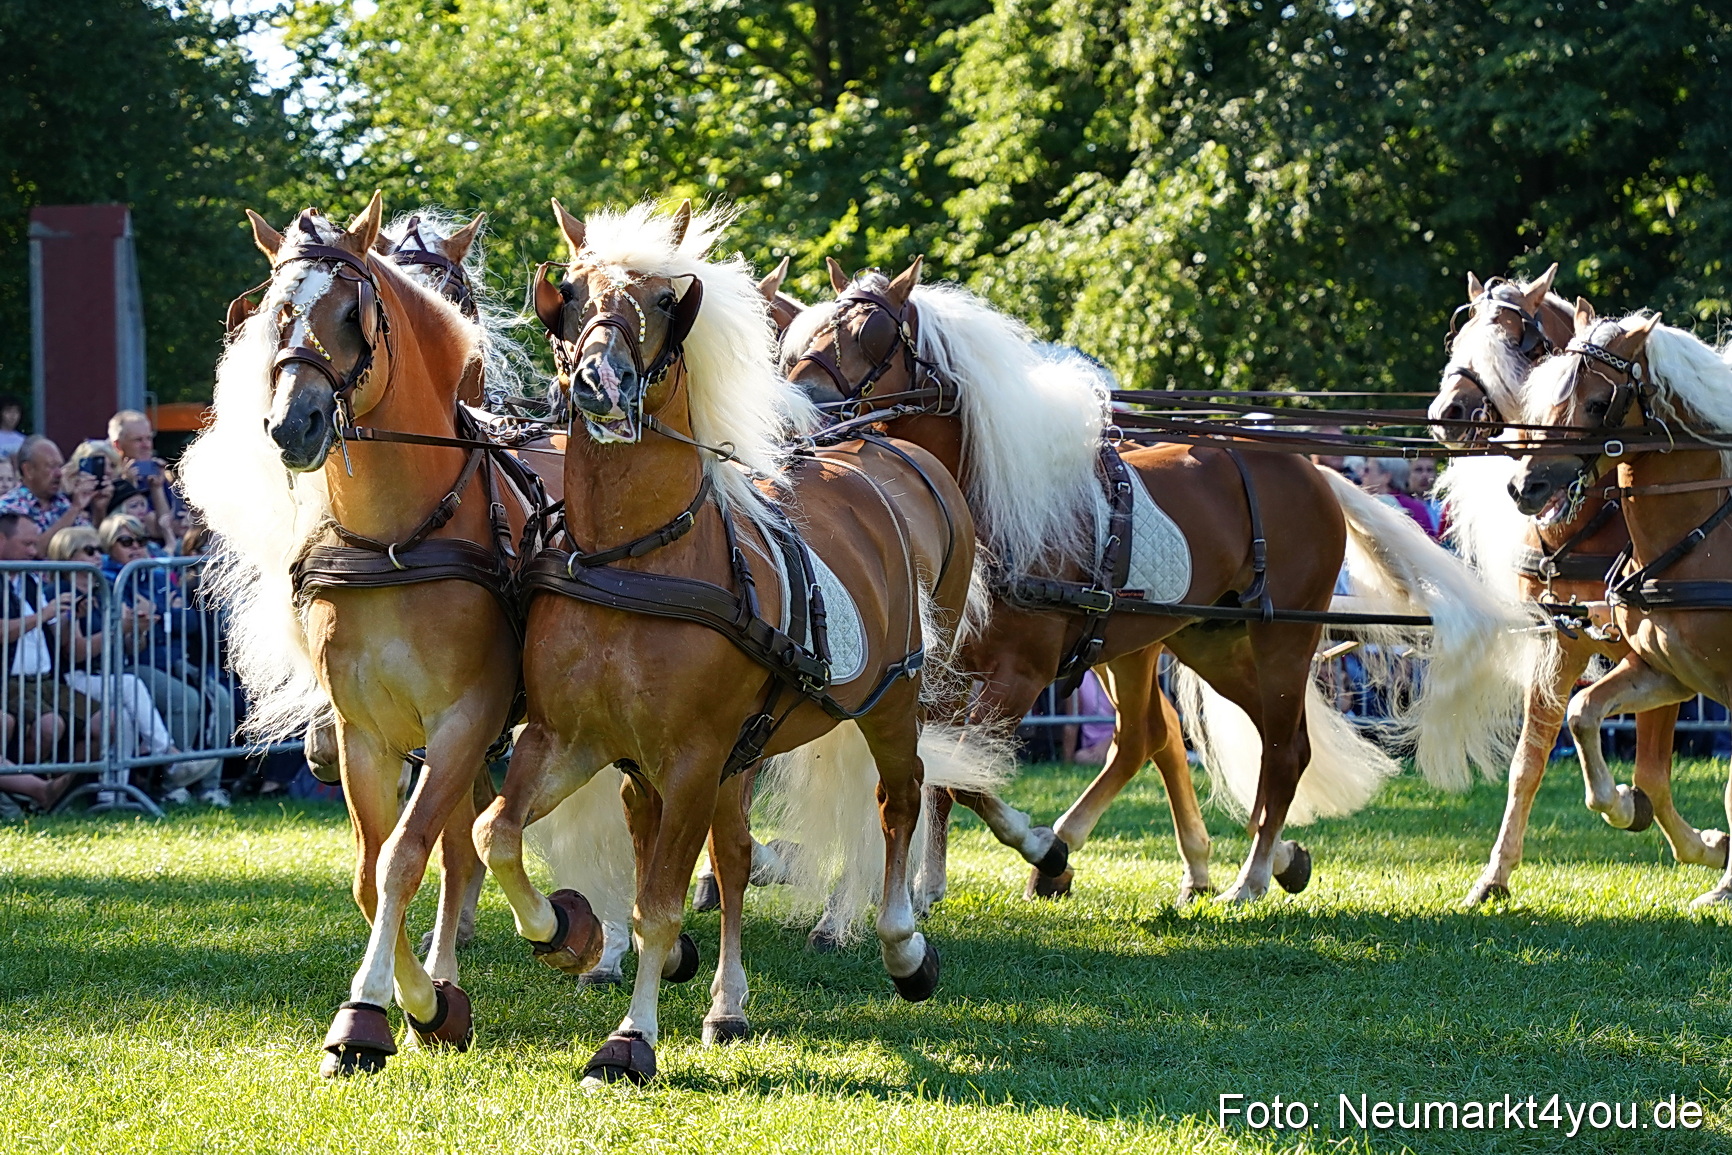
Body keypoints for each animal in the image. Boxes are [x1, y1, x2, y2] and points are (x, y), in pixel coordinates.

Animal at [181, 193, 550, 1075]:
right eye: (277, 316)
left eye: (353, 313)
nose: (295, 423)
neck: (395, 538)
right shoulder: (365, 731)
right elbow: (371, 868)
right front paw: (419, 1004)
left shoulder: (466, 718)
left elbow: (404, 858)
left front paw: (379, 1009)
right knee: (459, 851)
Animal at [471, 200, 1004, 1085]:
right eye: (570, 294)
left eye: (663, 300)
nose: (600, 383)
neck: (633, 558)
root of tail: (866, 466)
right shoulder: (567, 739)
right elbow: (497, 834)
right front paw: (561, 931)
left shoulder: (691, 757)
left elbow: (657, 902)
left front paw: (632, 1036)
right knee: (736, 854)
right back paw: (727, 1003)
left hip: (890, 699)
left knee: (898, 800)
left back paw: (901, 946)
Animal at [782, 258, 1526, 904]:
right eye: (803, 337)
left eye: (870, 338)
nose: (797, 411)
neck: (989, 501)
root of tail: (1308, 466)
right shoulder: (947, 675)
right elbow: (946, 774)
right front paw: (932, 884)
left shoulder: (1021, 675)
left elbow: (967, 777)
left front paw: (1043, 850)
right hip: (1207, 642)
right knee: (1187, 738)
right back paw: (1274, 856)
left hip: (1279, 640)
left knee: (1280, 749)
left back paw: (1248, 876)